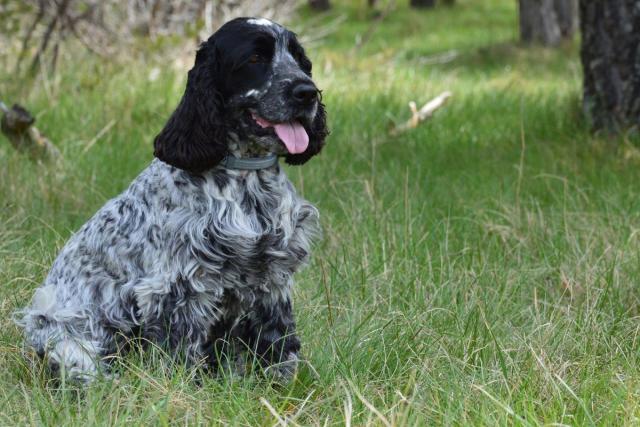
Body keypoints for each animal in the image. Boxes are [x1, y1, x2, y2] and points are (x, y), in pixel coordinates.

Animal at [16, 17, 330, 384]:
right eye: (255, 58)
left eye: (300, 60)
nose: (307, 92)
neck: (246, 178)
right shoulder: (178, 286)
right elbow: (179, 349)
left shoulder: (272, 275)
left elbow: (277, 340)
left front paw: (282, 385)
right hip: (69, 340)